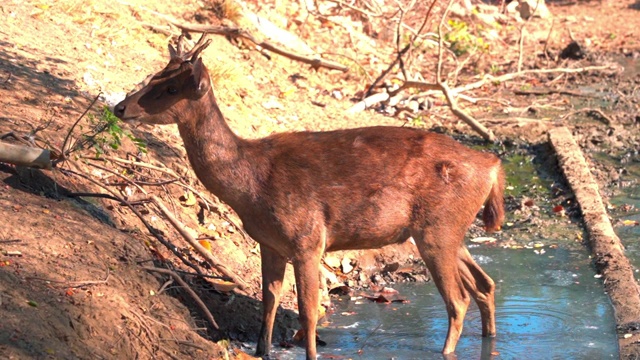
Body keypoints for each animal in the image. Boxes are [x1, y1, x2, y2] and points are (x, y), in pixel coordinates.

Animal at [115, 34, 504, 360]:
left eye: (170, 88)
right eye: (154, 76)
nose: (121, 107)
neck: (250, 185)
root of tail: (492, 166)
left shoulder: (307, 238)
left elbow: (308, 310)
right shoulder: (270, 243)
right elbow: (269, 299)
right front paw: (262, 351)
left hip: (438, 228)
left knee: (459, 299)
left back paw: (447, 351)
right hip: (450, 230)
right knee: (485, 284)